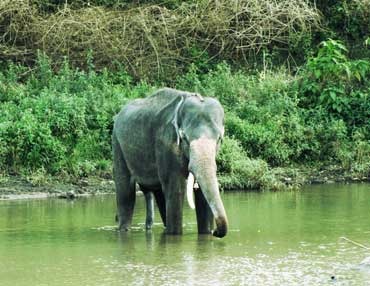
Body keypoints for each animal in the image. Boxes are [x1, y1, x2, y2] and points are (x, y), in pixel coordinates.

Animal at [112, 88, 228, 238]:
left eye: (219, 139)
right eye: (185, 139)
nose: (216, 232)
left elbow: (201, 194)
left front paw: (206, 234)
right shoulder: (165, 144)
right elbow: (176, 188)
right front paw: (174, 236)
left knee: (157, 192)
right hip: (117, 144)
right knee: (125, 191)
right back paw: (124, 230)